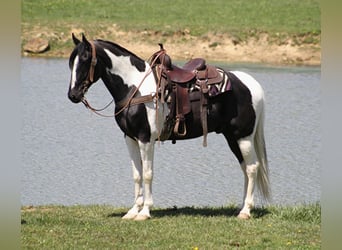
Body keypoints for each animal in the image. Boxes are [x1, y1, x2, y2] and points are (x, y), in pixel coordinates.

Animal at [67, 33, 270, 221]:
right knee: (245, 168)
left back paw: (245, 211)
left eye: (85, 59)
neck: (135, 88)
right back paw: (242, 207)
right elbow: (136, 175)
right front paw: (132, 211)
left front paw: (145, 212)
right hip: (232, 137)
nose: (73, 95)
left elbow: (147, 174)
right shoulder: (130, 139)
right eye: (71, 62)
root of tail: (252, 84)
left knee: (252, 168)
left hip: (243, 136)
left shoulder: (146, 139)